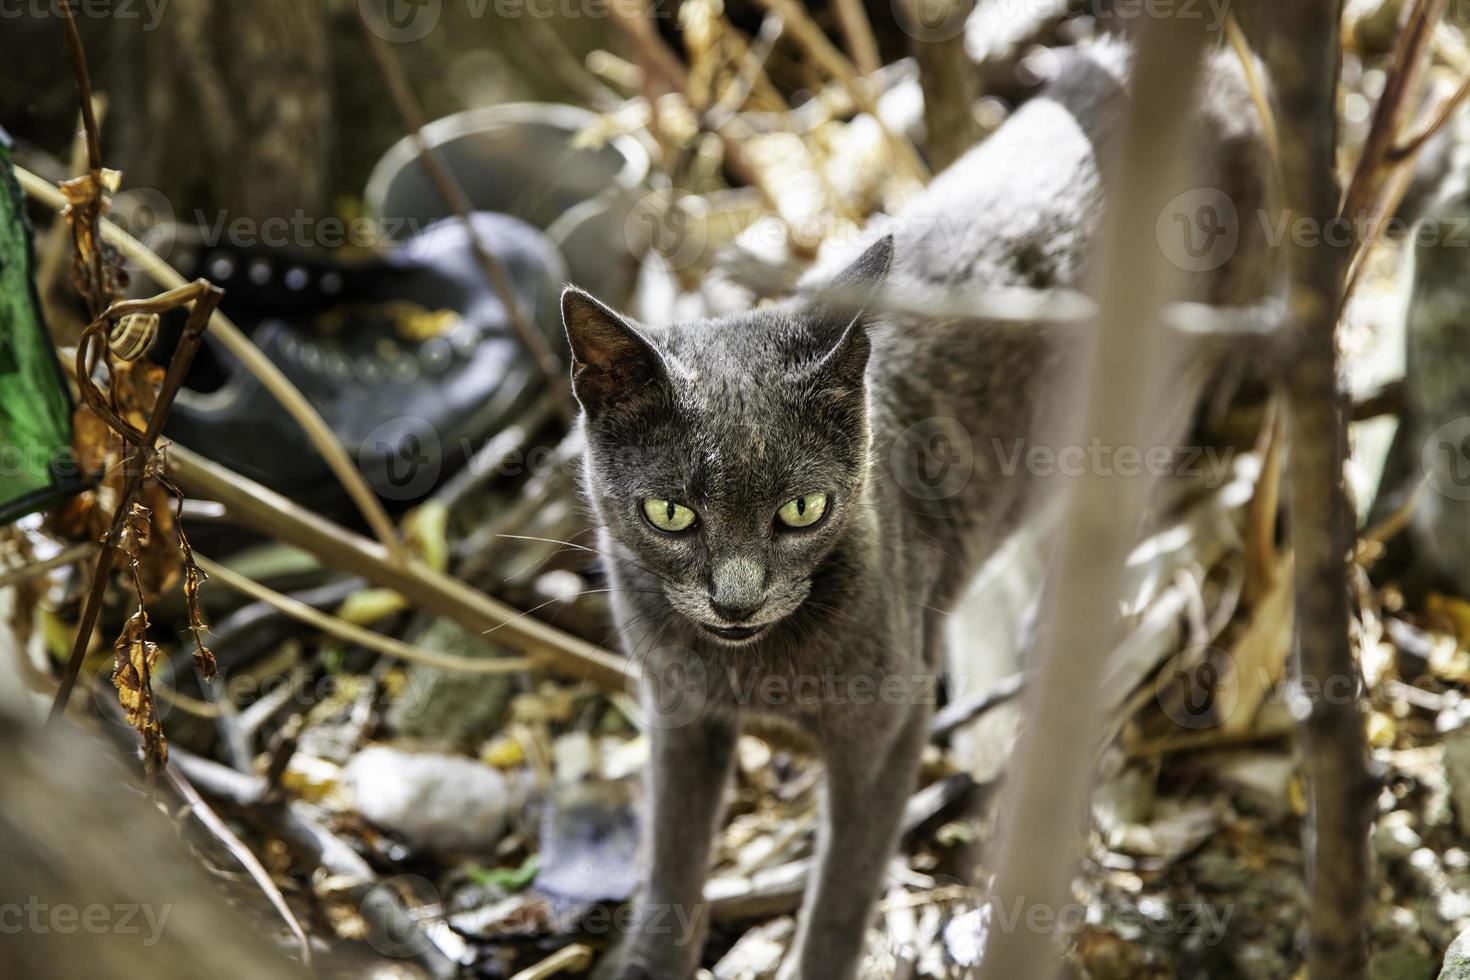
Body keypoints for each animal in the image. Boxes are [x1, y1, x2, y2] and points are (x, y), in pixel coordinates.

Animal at [567, 40, 1270, 980]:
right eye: (671, 515)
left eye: (802, 508)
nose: (737, 600)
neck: (749, 673)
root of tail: (1219, 69)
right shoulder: (678, 713)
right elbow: (670, 866)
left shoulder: (887, 730)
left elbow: (842, 893)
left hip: (1162, 391)